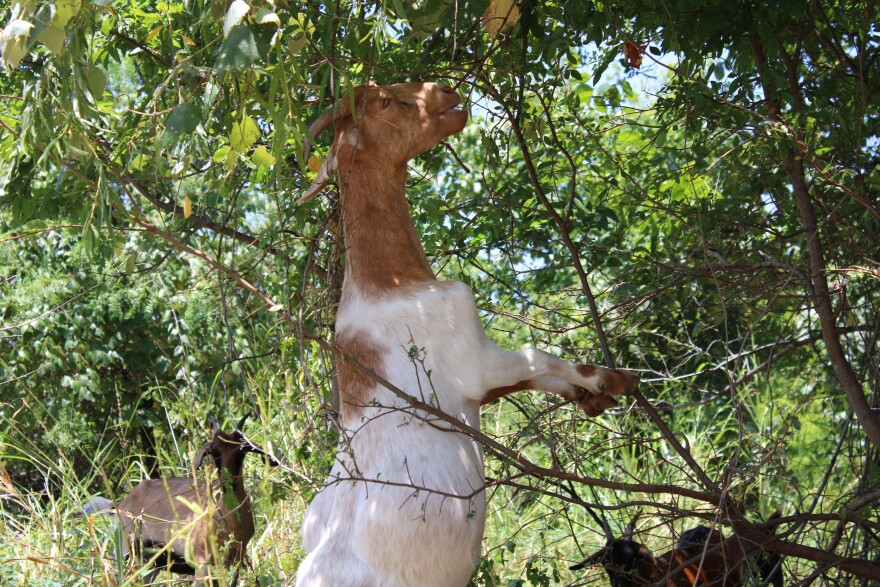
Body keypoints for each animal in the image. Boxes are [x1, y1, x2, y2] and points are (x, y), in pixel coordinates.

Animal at [80, 414, 276, 586]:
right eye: (213, 451)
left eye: (241, 449)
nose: (227, 483)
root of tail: (119, 505)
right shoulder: (202, 564)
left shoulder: (235, 562)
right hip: (126, 553)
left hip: (150, 564)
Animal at [294, 81, 640, 586]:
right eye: (384, 102)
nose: (444, 89)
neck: (389, 284)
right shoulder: (476, 363)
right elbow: (541, 357)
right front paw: (614, 381)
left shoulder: (481, 386)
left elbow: (537, 376)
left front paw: (590, 398)